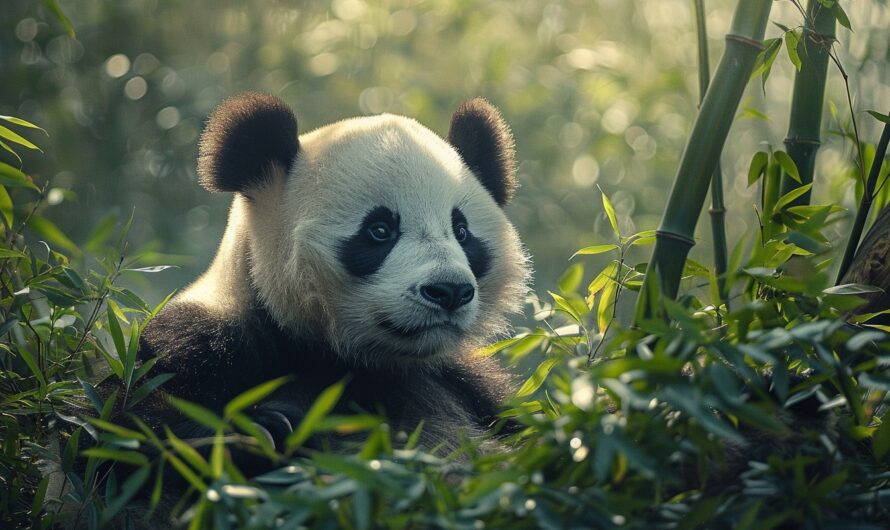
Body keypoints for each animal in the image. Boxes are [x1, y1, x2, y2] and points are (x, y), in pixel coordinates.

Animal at [133, 92, 530, 456]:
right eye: (379, 230)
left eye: (461, 232)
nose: (449, 291)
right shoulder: (203, 347)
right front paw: (262, 430)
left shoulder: (467, 383)